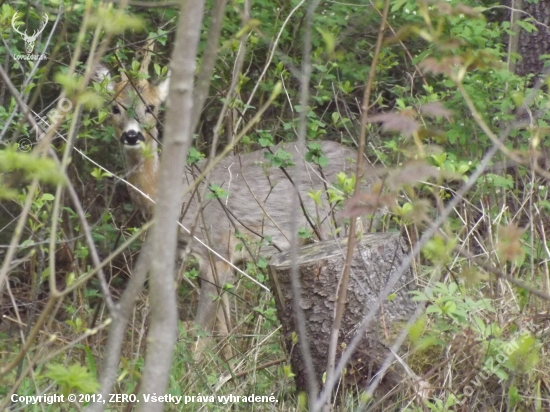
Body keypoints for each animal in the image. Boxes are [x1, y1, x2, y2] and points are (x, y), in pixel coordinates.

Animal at [95, 54, 380, 358]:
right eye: (115, 107)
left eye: (150, 107)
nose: (132, 136)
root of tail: (375, 171)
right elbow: (224, 326)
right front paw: (228, 362)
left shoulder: (217, 248)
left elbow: (203, 330)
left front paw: (196, 367)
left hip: (344, 226)